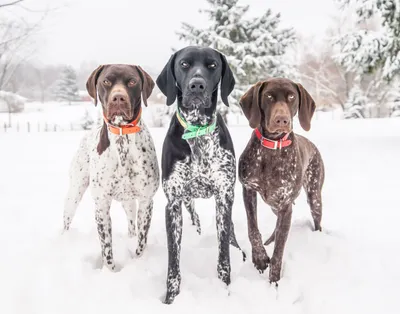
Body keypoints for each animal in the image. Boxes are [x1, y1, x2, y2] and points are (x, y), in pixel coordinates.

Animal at [62, 63, 159, 270]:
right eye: (106, 81)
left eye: (132, 81)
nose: (118, 98)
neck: (122, 137)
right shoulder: (101, 205)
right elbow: (106, 249)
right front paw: (110, 272)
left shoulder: (146, 201)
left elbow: (141, 242)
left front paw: (138, 263)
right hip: (74, 192)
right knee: (66, 219)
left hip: (129, 201)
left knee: (132, 224)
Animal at [158, 46, 245, 304]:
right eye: (184, 64)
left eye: (212, 65)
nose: (197, 85)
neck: (197, 130)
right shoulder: (173, 203)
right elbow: (173, 262)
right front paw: (171, 299)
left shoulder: (224, 198)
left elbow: (224, 256)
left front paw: (225, 291)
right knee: (194, 217)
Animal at [238, 77, 324, 284]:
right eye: (268, 96)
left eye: (292, 97)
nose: (282, 120)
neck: (272, 148)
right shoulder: (248, 190)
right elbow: (253, 229)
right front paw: (260, 258)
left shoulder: (285, 204)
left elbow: (279, 250)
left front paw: (274, 282)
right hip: (273, 205)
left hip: (314, 198)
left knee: (317, 222)